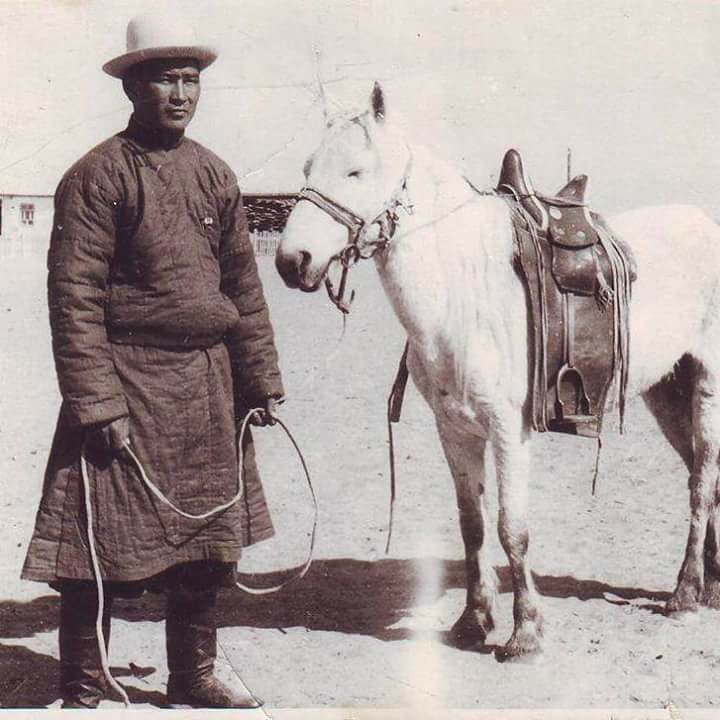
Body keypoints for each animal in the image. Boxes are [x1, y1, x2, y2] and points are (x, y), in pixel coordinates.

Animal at [275, 82, 720, 660]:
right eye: (308, 166)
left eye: (355, 171)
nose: (292, 261)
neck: (463, 289)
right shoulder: (455, 429)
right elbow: (474, 526)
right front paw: (473, 619)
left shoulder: (510, 428)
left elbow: (513, 529)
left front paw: (525, 630)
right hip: (667, 389)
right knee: (701, 473)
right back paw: (711, 585)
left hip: (708, 385)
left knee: (703, 480)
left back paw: (685, 592)